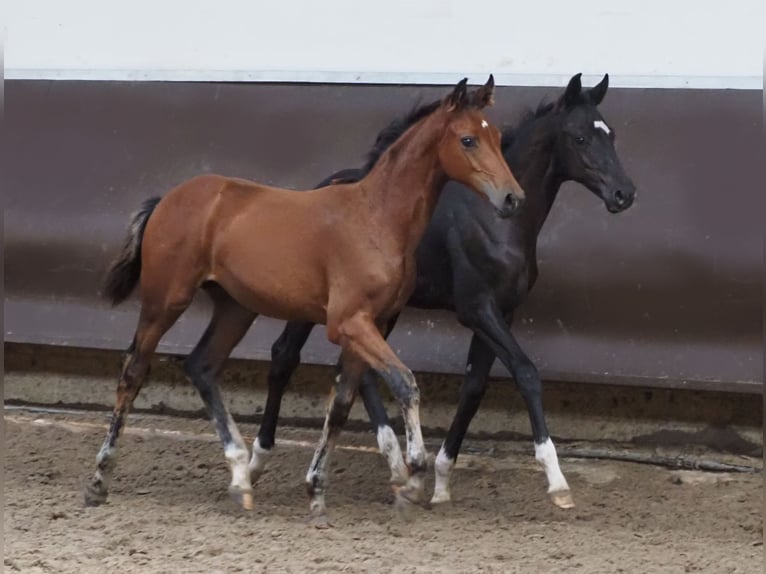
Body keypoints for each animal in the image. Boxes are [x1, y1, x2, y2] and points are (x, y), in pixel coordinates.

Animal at [84, 76, 528, 528]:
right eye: (468, 139)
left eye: (496, 136)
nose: (513, 197)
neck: (377, 218)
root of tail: (167, 199)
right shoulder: (349, 323)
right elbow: (405, 382)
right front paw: (414, 476)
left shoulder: (374, 324)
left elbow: (342, 403)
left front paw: (318, 492)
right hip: (166, 300)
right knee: (133, 370)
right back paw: (100, 481)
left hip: (235, 308)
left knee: (201, 365)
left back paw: (240, 479)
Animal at [250, 74, 636, 510]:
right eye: (580, 138)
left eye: (611, 134)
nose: (624, 194)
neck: (496, 221)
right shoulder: (477, 309)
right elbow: (526, 373)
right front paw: (557, 481)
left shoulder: (501, 312)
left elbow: (474, 385)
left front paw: (441, 481)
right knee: (285, 355)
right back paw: (260, 459)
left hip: (379, 312)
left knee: (357, 371)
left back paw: (395, 462)